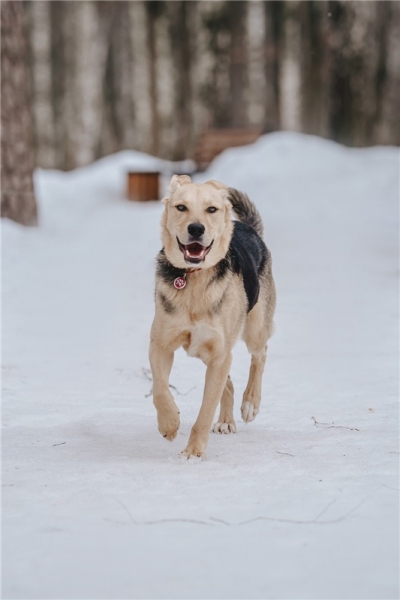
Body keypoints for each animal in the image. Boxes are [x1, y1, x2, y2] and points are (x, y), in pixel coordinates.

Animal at [149, 175, 276, 458]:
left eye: (211, 209)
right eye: (181, 207)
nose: (196, 229)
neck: (193, 279)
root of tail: (248, 228)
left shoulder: (219, 354)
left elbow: (205, 412)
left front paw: (193, 453)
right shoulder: (161, 345)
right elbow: (160, 390)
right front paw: (169, 424)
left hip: (253, 330)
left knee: (260, 354)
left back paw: (250, 402)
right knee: (228, 384)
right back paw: (227, 421)